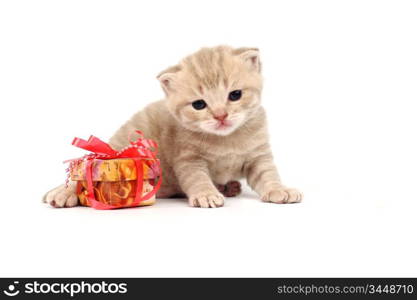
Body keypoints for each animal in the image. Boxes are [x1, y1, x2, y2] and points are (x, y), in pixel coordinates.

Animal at [44, 45, 300, 209]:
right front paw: (207, 194)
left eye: (235, 94)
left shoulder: (259, 155)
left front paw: (279, 189)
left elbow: (267, 174)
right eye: (199, 104)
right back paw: (62, 193)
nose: (221, 115)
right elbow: (197, 178)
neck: (226, 140)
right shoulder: (188, 159)